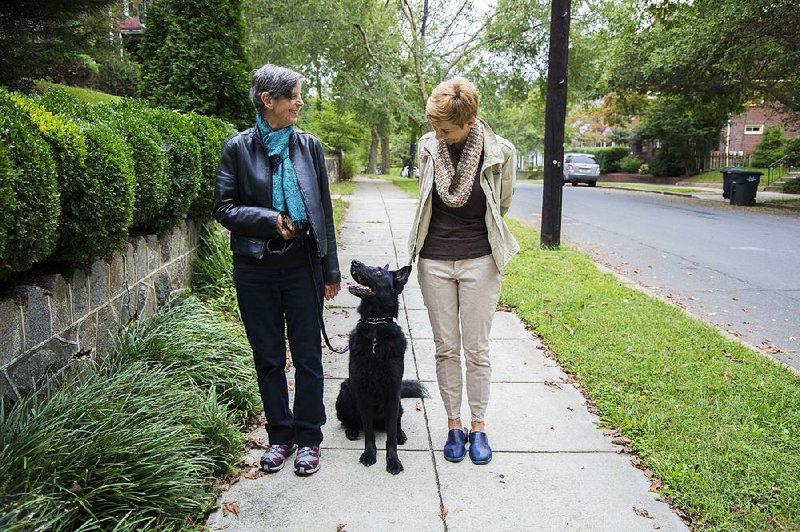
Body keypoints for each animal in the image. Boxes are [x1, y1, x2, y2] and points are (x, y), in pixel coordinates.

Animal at [334, 258, 428, 474]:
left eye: (377, 272)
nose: (354, 261)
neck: (375, 329)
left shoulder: (393, 393)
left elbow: (391, 434)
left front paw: (392, 459)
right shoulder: (362, 394)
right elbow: (368, 432)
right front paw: (370, 453)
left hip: (398, 403)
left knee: (395, 423)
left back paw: (400, 433)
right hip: (345, 392)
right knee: (351, 420)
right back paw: (352, 429)